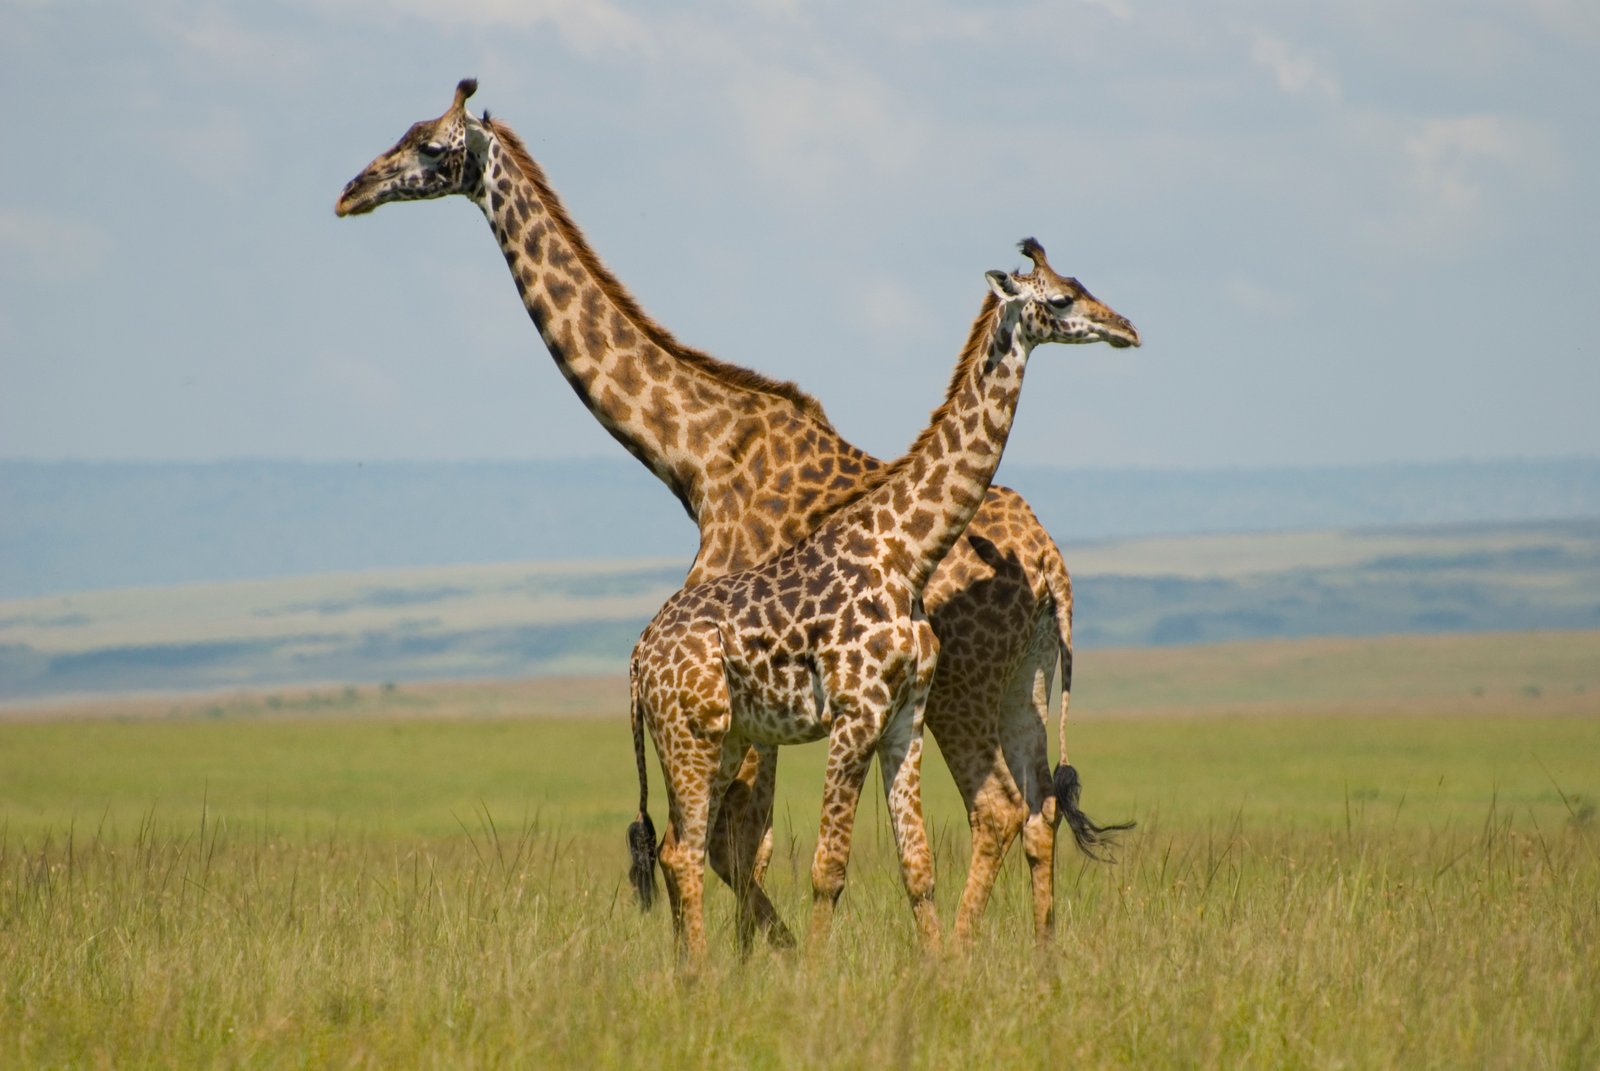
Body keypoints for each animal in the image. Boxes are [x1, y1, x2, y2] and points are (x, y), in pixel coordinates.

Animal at [626, 257, 1139, 959]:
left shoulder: (904, 714)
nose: (1126, 329)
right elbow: (827, 869)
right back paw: (699, 971)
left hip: (723, 737)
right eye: (1061, 299)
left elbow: (916, 865)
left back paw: (688, 970)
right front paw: (813, 975)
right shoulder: (855, 713)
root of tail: (636, 660)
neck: (907, 549)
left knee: (681, 846)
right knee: (684, 851)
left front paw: (941, 970)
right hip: (690, 736)